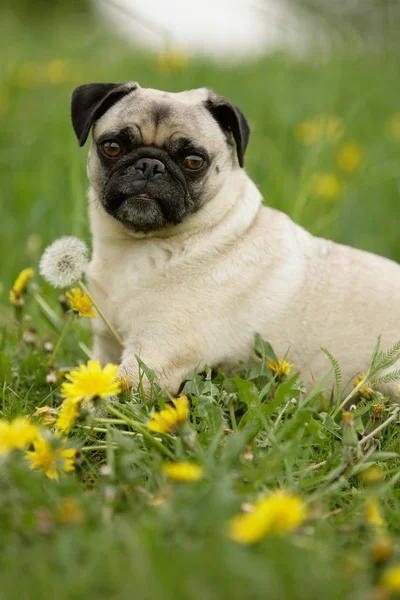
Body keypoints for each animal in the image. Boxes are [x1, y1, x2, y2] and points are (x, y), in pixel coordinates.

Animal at [70, 81, 400, 398]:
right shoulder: (106, 346)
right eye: (112, 147)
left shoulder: (153, 357)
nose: (150, 165)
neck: (136, 248)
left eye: (193, 161)